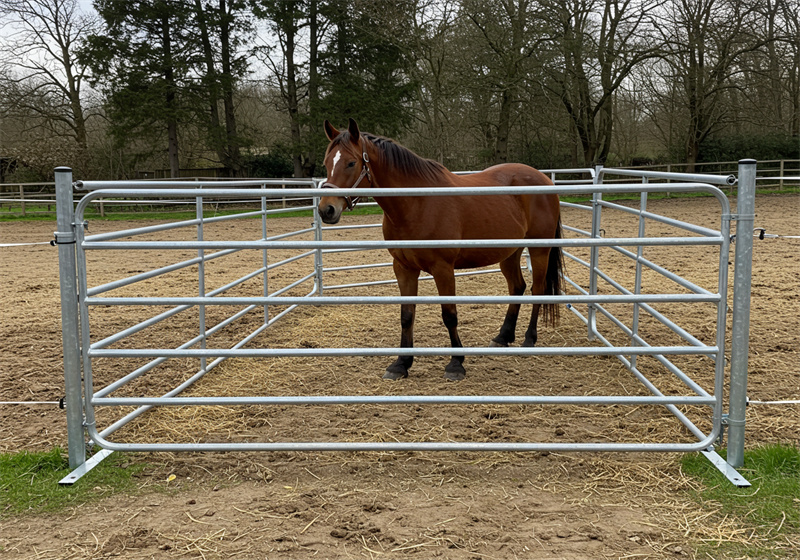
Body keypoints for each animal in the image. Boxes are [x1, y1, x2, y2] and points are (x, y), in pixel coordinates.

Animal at [318, 118, 564, 380]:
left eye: (351, 162)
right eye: (326, 163)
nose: (326, 210)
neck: (417, 203)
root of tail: (544, 179)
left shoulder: (443, 269)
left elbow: (449, 315)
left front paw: (456, 363)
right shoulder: (403, 268)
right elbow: (407, 315)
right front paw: (401, 363)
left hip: (539, 250)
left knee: (538, 289)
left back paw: (529, 339)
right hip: (509, 252)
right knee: (517, 288)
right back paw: (503, 337)